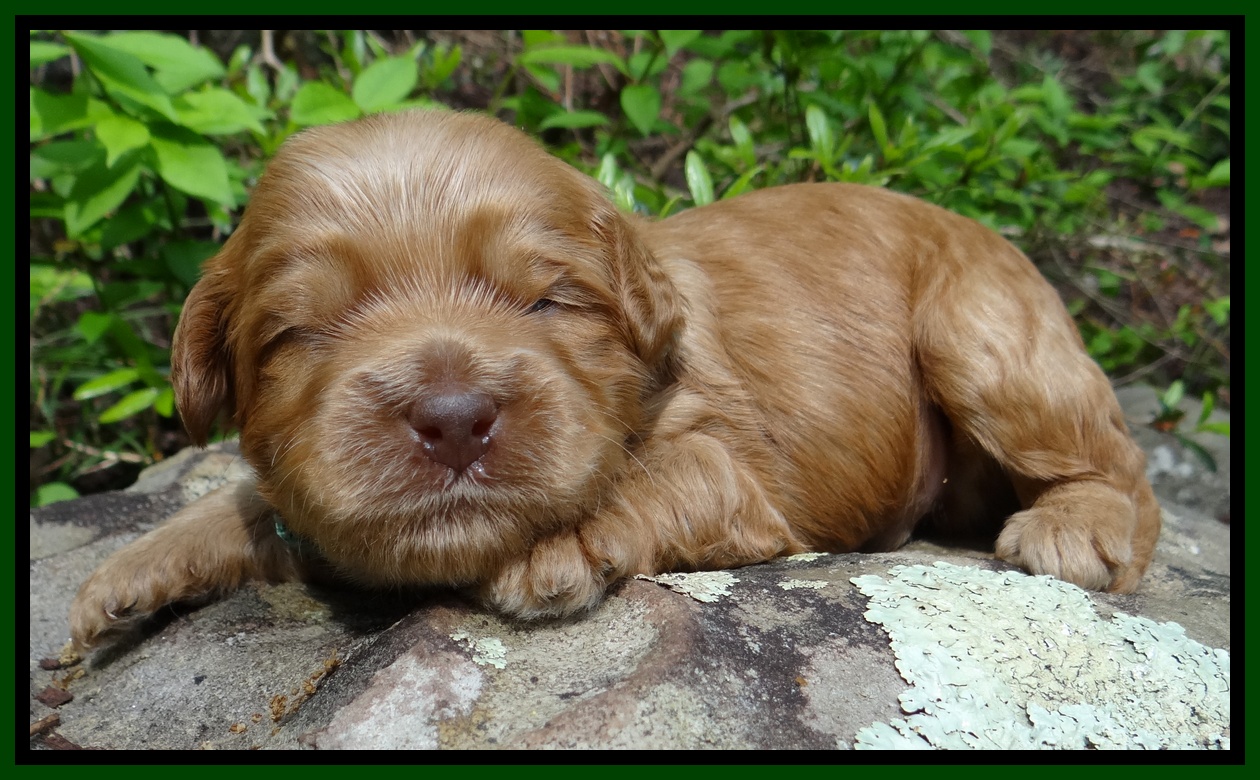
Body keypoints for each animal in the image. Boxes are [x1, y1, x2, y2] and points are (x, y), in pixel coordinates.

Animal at [70, 110, 1161, 650]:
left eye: (547, 301)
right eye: (301, 331)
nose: (454, 419)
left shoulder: (732, 468)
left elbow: (640, 479)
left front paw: (554, 547)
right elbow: (261, 504)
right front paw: (131, 572)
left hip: (984, 337)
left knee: (1121, 466)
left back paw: (1077, 527)